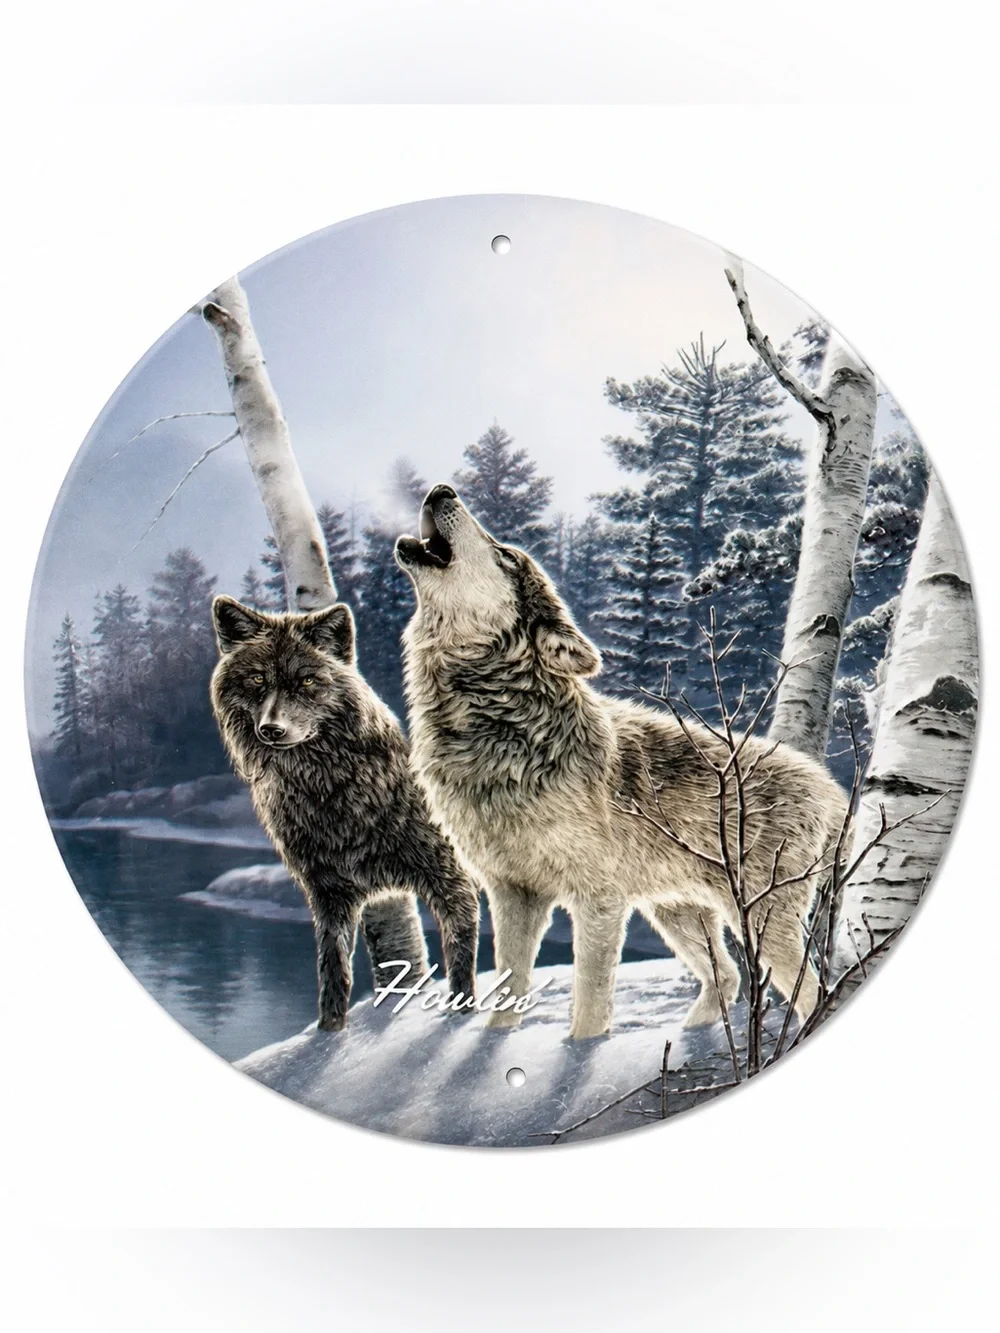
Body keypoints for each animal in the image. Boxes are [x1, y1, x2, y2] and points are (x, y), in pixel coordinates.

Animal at [210, 596, 479, 1032]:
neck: (328, 793)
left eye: (306, 681)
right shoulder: (328, 895)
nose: (271, 729)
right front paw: (330, 1032)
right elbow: (333, 970)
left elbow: (460, 962)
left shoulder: (451, 880)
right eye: (257, 680)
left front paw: (462, 1018)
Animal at [395, 485, 848, 1040]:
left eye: (504, 555)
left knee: (812, 990)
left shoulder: (598, 900)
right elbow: (507, 992)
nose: (442, 489)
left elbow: (590, 1003)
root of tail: (832, 789)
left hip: (759, 921)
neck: (498, 731)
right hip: (675, 911)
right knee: (728, 976)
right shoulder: (511, 894)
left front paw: (580, 1052)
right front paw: (495, 1044)